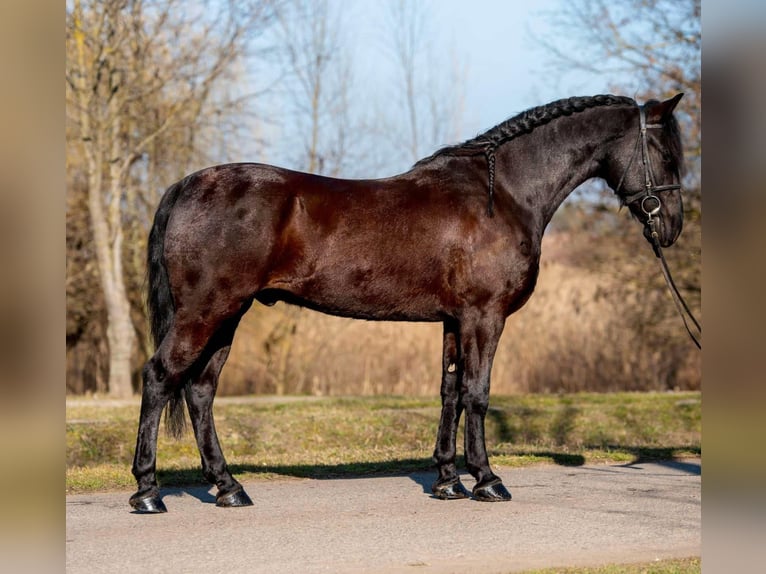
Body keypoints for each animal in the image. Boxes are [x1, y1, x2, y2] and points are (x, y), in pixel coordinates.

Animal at [129, 93, 688, 512]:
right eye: (665, 153)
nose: (671, 226)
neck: (503, 194)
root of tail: (186, 185)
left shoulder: (454, 321)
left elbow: (449, 394)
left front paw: (448, 481)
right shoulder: (484, 317)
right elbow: (477, 394)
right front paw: (487, 481)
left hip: (227, 317)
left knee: (200, 391)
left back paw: (228, 488)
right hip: (206, 313)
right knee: (160, 378)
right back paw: (148, 492)